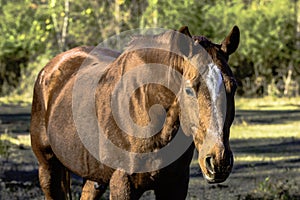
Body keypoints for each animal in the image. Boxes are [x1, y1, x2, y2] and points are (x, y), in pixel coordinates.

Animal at [30, 25, 239, 199]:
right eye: (188, 89)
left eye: (233, 87)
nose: (218, 160)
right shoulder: (123, 184)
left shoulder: (175, 184)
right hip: (48, 169)